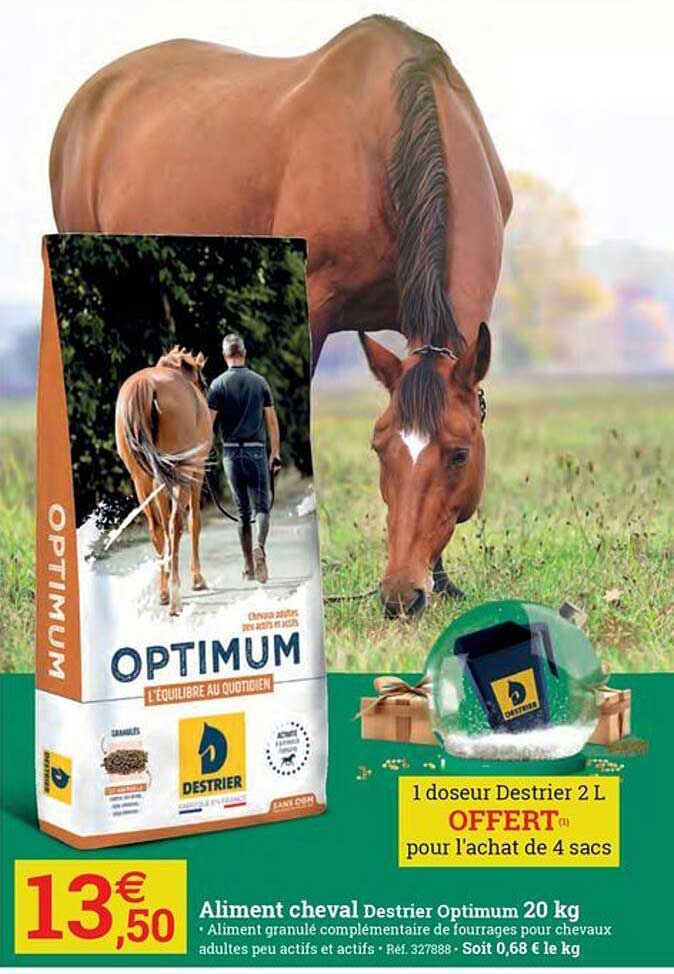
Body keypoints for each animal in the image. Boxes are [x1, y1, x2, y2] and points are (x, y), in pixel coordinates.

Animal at [115, 347, 212, 615]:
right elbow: (194, 521)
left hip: (142, 480)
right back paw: (176, 594)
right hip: (182, 475)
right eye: (203, 383)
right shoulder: (195, 475)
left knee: (157, 528)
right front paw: (197, 579)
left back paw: (163, 592)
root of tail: (146, 385)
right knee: (175, 524)